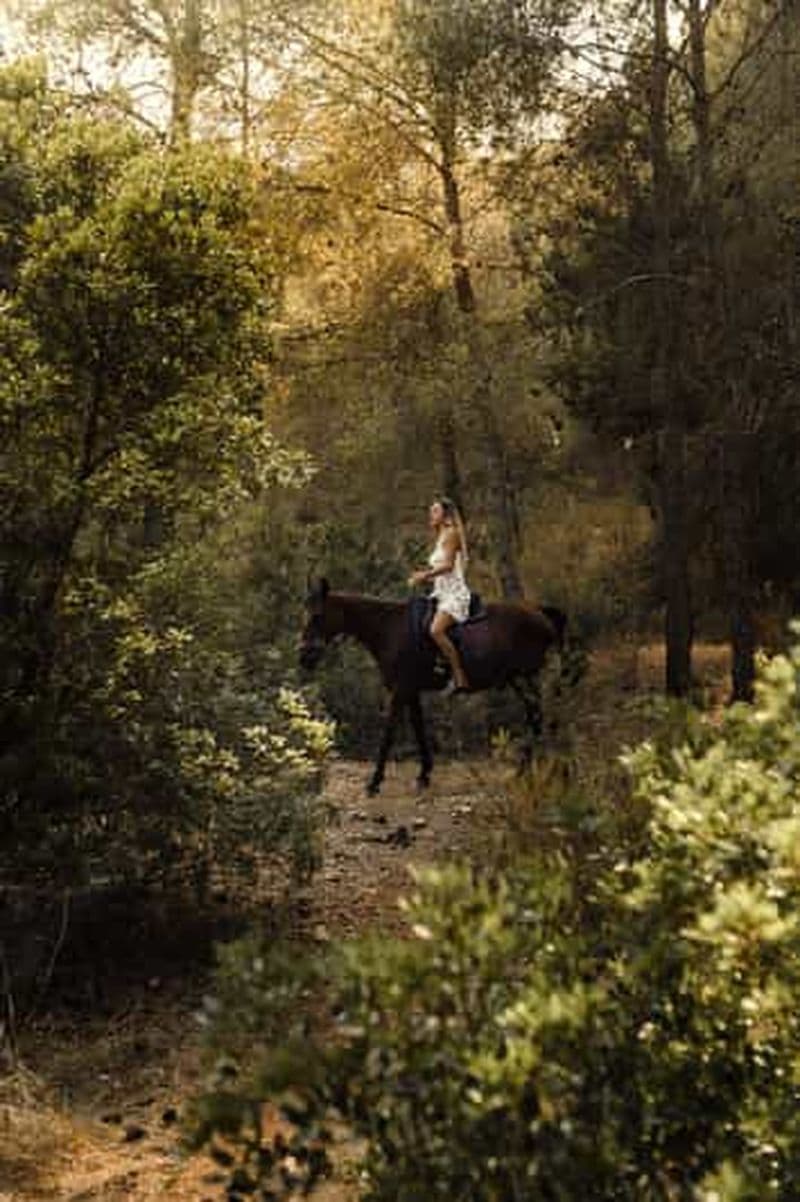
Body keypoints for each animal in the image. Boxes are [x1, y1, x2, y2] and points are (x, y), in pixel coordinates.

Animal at [299, 577, 567, 796]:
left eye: (317, 616)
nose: (304, 656)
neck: (390, 629)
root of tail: (539, 612)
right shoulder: (411, 691)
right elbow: (418, 728)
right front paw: (424, 774)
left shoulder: (400, 691)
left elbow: (389, 733)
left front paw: (375, 782)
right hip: (520, 679)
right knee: (536, 717)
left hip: (524, 677)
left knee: (536, 717)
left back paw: (524, 771)